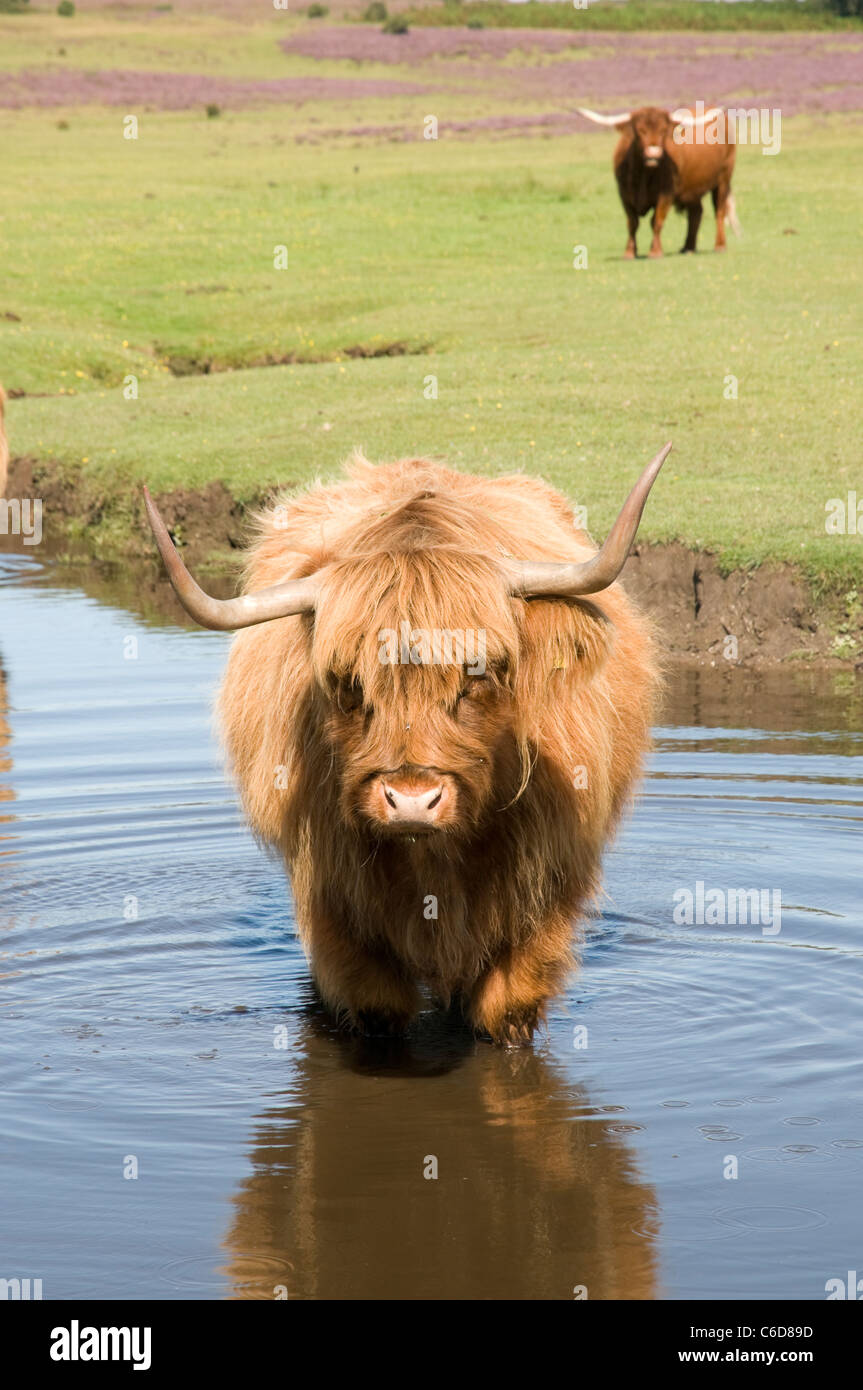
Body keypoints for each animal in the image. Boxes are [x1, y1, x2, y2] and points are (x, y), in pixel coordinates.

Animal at [144, 444, 667, 1045]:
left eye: (477, 672)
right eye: (349, 683)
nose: (412, 801)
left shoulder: (548, 885)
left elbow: (506, 1007)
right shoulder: (333, 902)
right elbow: (376, 1010)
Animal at [575, 104, 739, 259]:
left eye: (663, 130)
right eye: (640, 130)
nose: (654, 153)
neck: (643, 175)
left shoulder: (666, 194)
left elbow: (656, 221)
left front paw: (655, 251)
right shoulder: (624, 194)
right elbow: (632, 223)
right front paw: (629, 252)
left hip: (723, 179)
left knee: (719, 211)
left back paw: (719, 245)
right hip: (692, 188)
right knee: (696, 212)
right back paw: (688, 247)